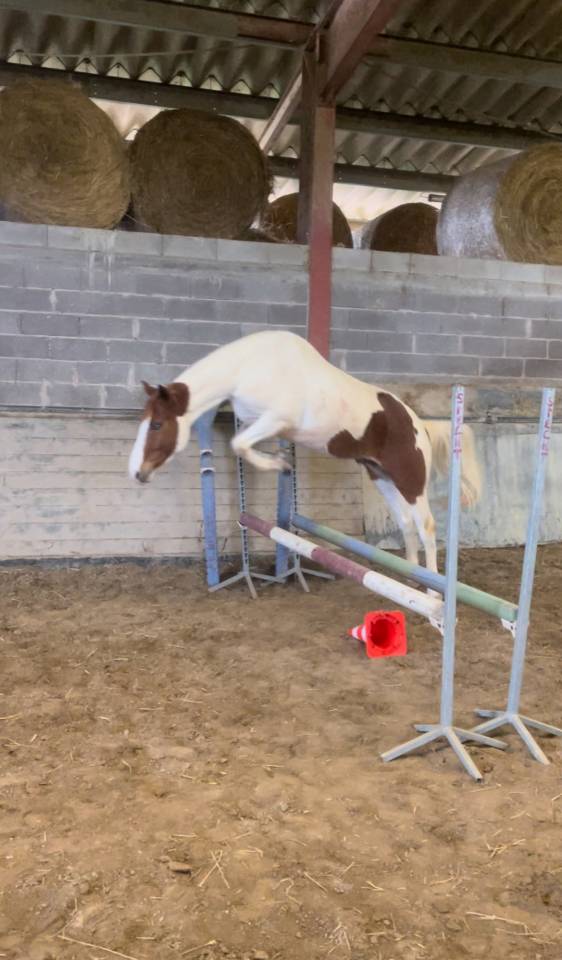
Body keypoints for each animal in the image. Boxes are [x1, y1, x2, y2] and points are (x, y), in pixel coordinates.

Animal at [128, 330, 481, 574]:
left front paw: (281, 465)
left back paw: (433, 591)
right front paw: (282, 463)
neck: (247, 366)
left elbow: (238, 444)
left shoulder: (275, 419)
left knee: (426, 526)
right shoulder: (258, 422)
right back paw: (411, 578)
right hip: (381, 476)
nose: (137, 473)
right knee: (407, 524)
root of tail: (419, 424)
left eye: (157, 424)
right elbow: (241, 442)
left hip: (410, 481)